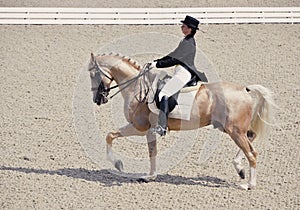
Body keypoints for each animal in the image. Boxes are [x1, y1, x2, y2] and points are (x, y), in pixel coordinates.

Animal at [88, 53, 276, 190]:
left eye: (92, 74)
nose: (97, 100)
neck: (137, 88)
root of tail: (245, 90)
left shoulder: (139, 127)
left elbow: (110, 135)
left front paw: (119, 164)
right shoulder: (148, 130)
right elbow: (151, 151)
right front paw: (150, 176)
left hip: (234, 130)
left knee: (252, 154)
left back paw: (249, 184)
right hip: (233, 129)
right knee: (252, 140)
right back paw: (240, 169)